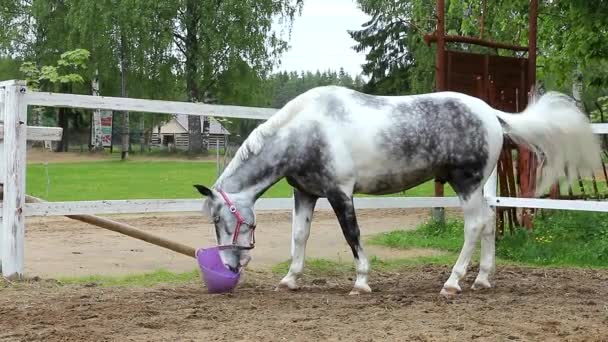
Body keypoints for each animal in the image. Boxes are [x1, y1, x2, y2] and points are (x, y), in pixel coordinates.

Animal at [194, 85, 600, 296]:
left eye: (222, 220)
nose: (230, 266)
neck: (308, 129)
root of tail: (490, 113)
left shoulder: (341, 193)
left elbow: (352, 235)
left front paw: (361, 281)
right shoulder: (306, 193)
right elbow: (299, 235)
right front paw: (291, 279)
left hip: (466, 184)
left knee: (473, 226)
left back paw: (452, 283)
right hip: (476, 187)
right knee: (487, 223)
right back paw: (482, 279)